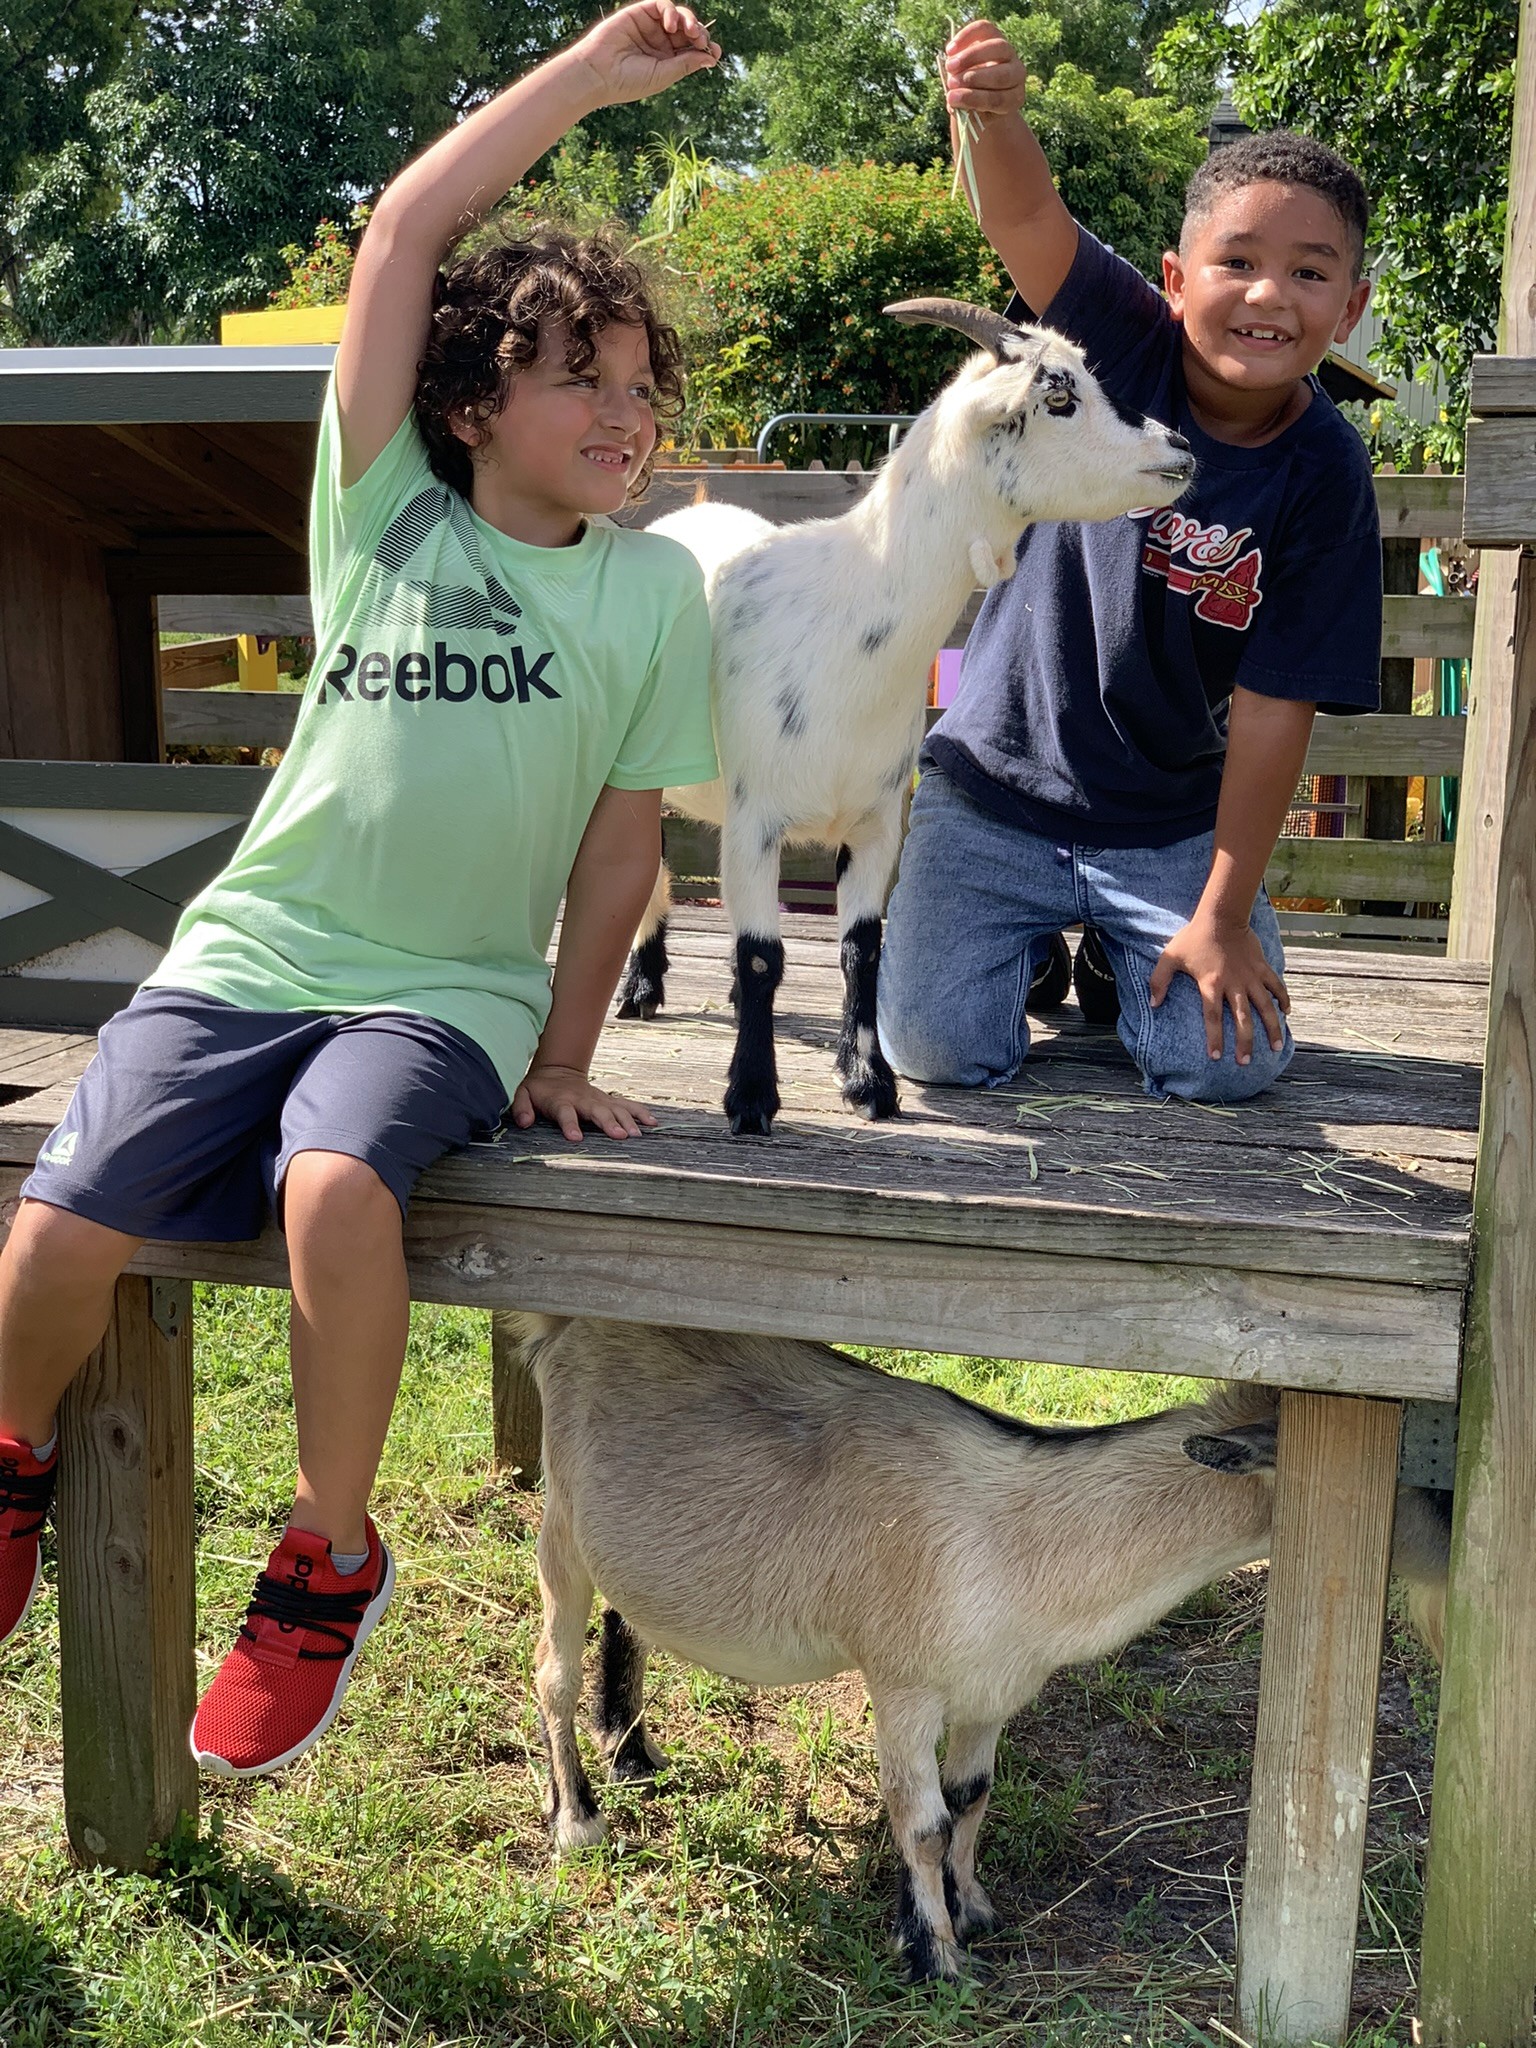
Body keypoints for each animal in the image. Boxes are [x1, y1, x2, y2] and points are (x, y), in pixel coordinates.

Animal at [520, 1318, 1458, 1974]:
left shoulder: (993, 1689)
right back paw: (578, 1817)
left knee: (630, 1616)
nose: (1464, 1554)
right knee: (550, 1672)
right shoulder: (903, 1685)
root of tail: (563, 1329)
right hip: (561, 1525)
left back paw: (632, 1748)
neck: (1017, 1539)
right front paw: (936, 1956)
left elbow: (971, 1797)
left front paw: (971, 1910)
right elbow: (924, 1820)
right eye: (1427, 1477)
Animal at [618, 299, 1196, 1138]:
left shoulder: (875, 820)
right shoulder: (757, 820)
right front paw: (751, 1097)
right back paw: (640, 986)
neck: (850, 622)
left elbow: (862, 952)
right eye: (1059, 397)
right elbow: (762, 956)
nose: (1179, 448)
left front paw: (869, 1082)